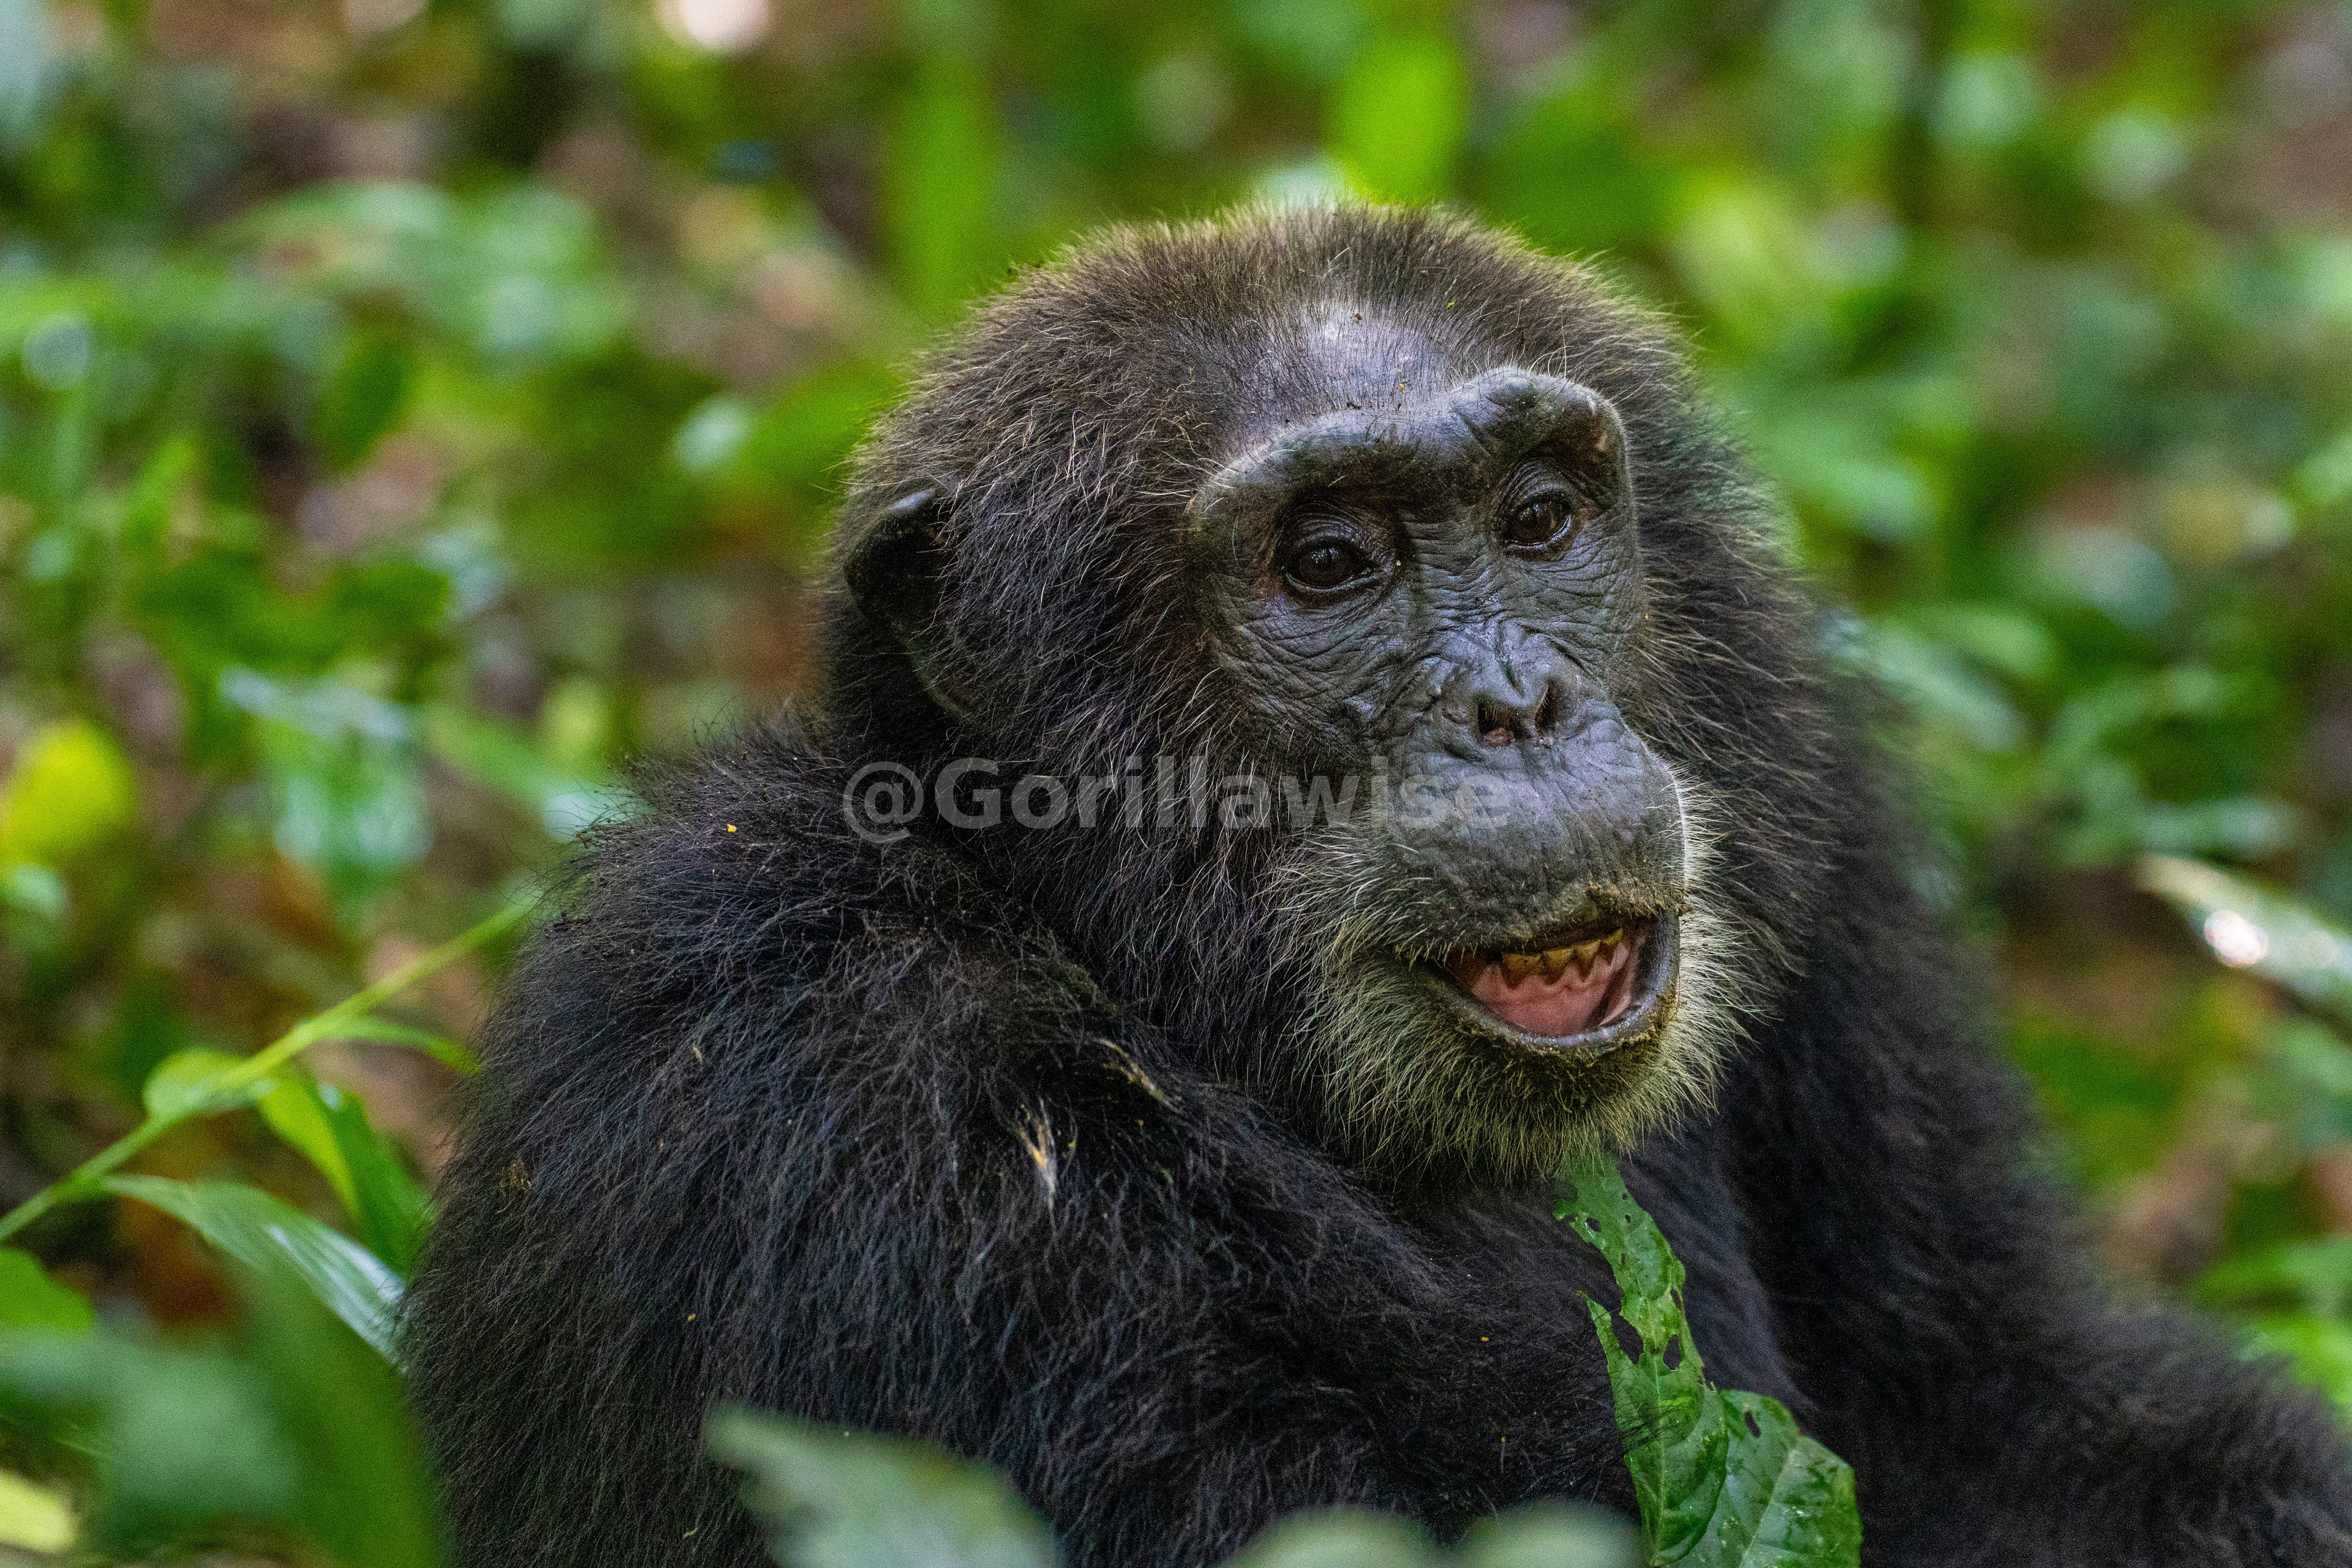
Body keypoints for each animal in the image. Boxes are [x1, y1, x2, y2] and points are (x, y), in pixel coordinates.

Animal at [403, 205, 2352, 1567]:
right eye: (1330, 561)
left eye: (1540, 518)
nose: (1515, 703)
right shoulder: (800, 1051)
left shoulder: (1825, 828)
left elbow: (1995, 1398)